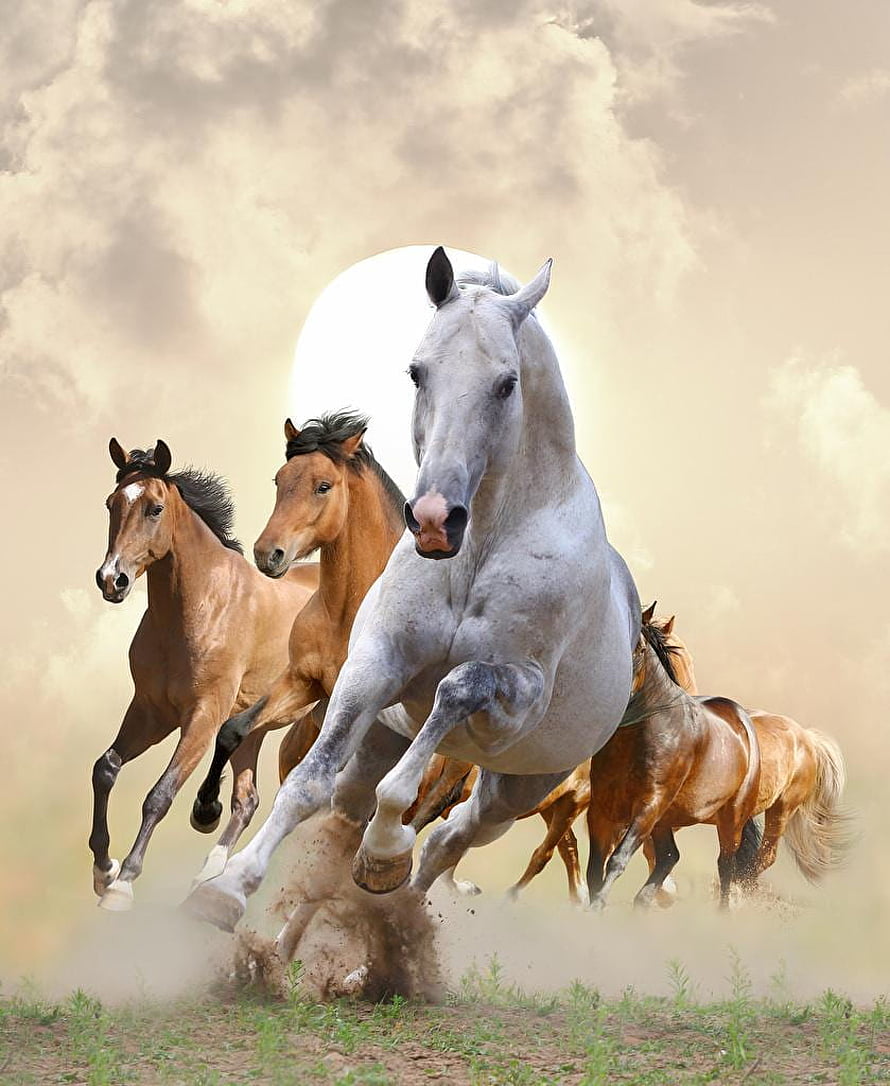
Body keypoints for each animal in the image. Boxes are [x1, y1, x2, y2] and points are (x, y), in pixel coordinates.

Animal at [90, 440, 317, 910]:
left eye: (155, 509)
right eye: (111, 504)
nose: (111, 579)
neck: (201, 606)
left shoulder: (203, 717)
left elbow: (160, 794)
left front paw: (123, 883)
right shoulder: (151, 712)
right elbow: (106, 767)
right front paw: (104, 870)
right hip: (257, 728)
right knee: (247, 799)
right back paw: (209, 874)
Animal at [189, 411, 408, 886]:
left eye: (323, 486)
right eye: (279, 479)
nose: (267, 553)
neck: (348, 611)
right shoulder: (303, 681)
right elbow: (233, 730)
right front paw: (205, 809)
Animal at [585, 620, 761, 909]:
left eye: (641, 648)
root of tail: (741, 720)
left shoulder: (648, 805)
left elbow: (617, 859)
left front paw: (597, 906)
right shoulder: (601, 807)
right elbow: (594, 868)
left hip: (731, 818)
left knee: (725, 865)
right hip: (665, 819)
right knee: (670, 855)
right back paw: (642, 903)